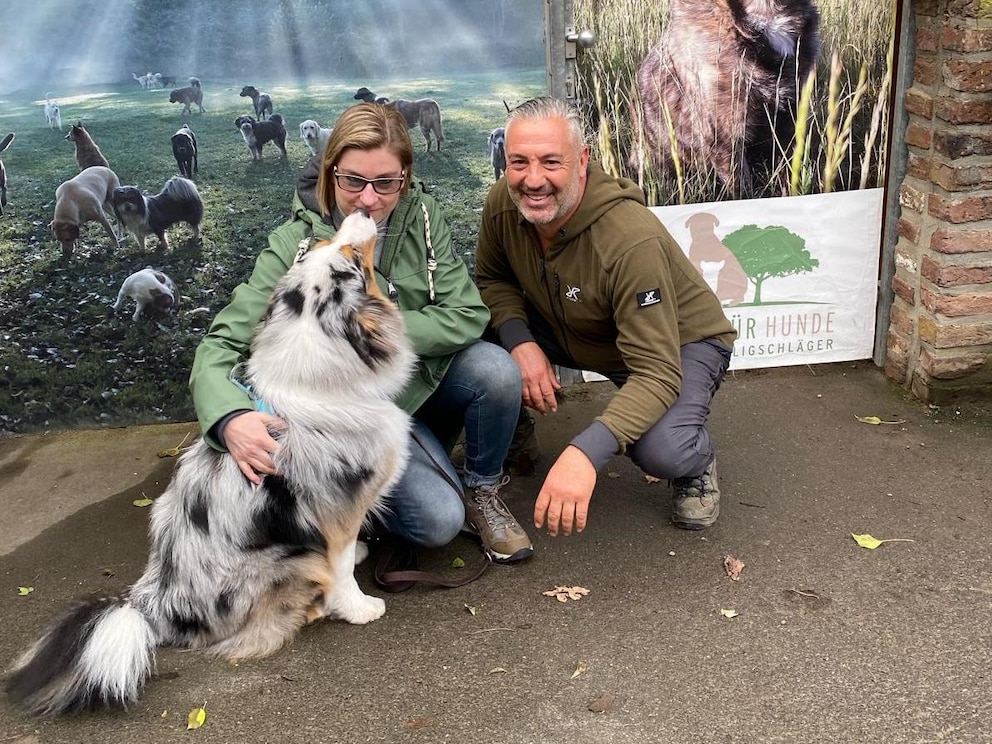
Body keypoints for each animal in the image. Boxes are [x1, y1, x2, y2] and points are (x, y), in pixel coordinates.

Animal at [4, 208, 414, 716]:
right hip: (288, 557)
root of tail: (152, 606)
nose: (359, 212)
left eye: (332, 246)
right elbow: (339, 567)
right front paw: (359, 607)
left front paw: (359, 558)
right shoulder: (338, 506)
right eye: (354, 257)